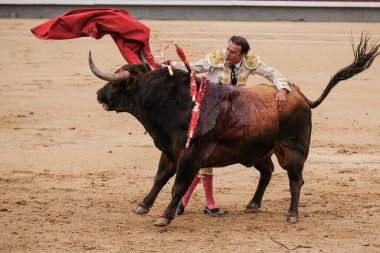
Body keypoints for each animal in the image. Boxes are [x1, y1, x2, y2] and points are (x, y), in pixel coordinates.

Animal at [90, 34, 380, 226]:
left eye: (118, 82)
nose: (99, 94)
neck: (177, 101)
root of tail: (298, 94)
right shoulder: (171, 151)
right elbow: (160, 178)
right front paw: (143, 206)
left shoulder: (190, 155)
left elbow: (177, 185)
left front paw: (164, 217)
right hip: (259, 151)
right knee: (268, 172)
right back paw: (253, 204)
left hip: (295, 150)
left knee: (295, 180)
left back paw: (291, 215)